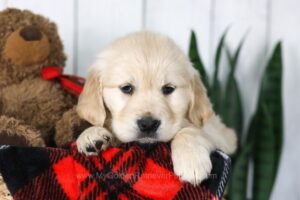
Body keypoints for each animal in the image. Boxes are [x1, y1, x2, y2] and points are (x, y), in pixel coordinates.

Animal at [77, 30, 237, 184]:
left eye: (168, 89)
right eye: (127, 88)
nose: (148, 124)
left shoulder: (218, 133)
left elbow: (191, 130)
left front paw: (191, 160)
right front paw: (91, 134)